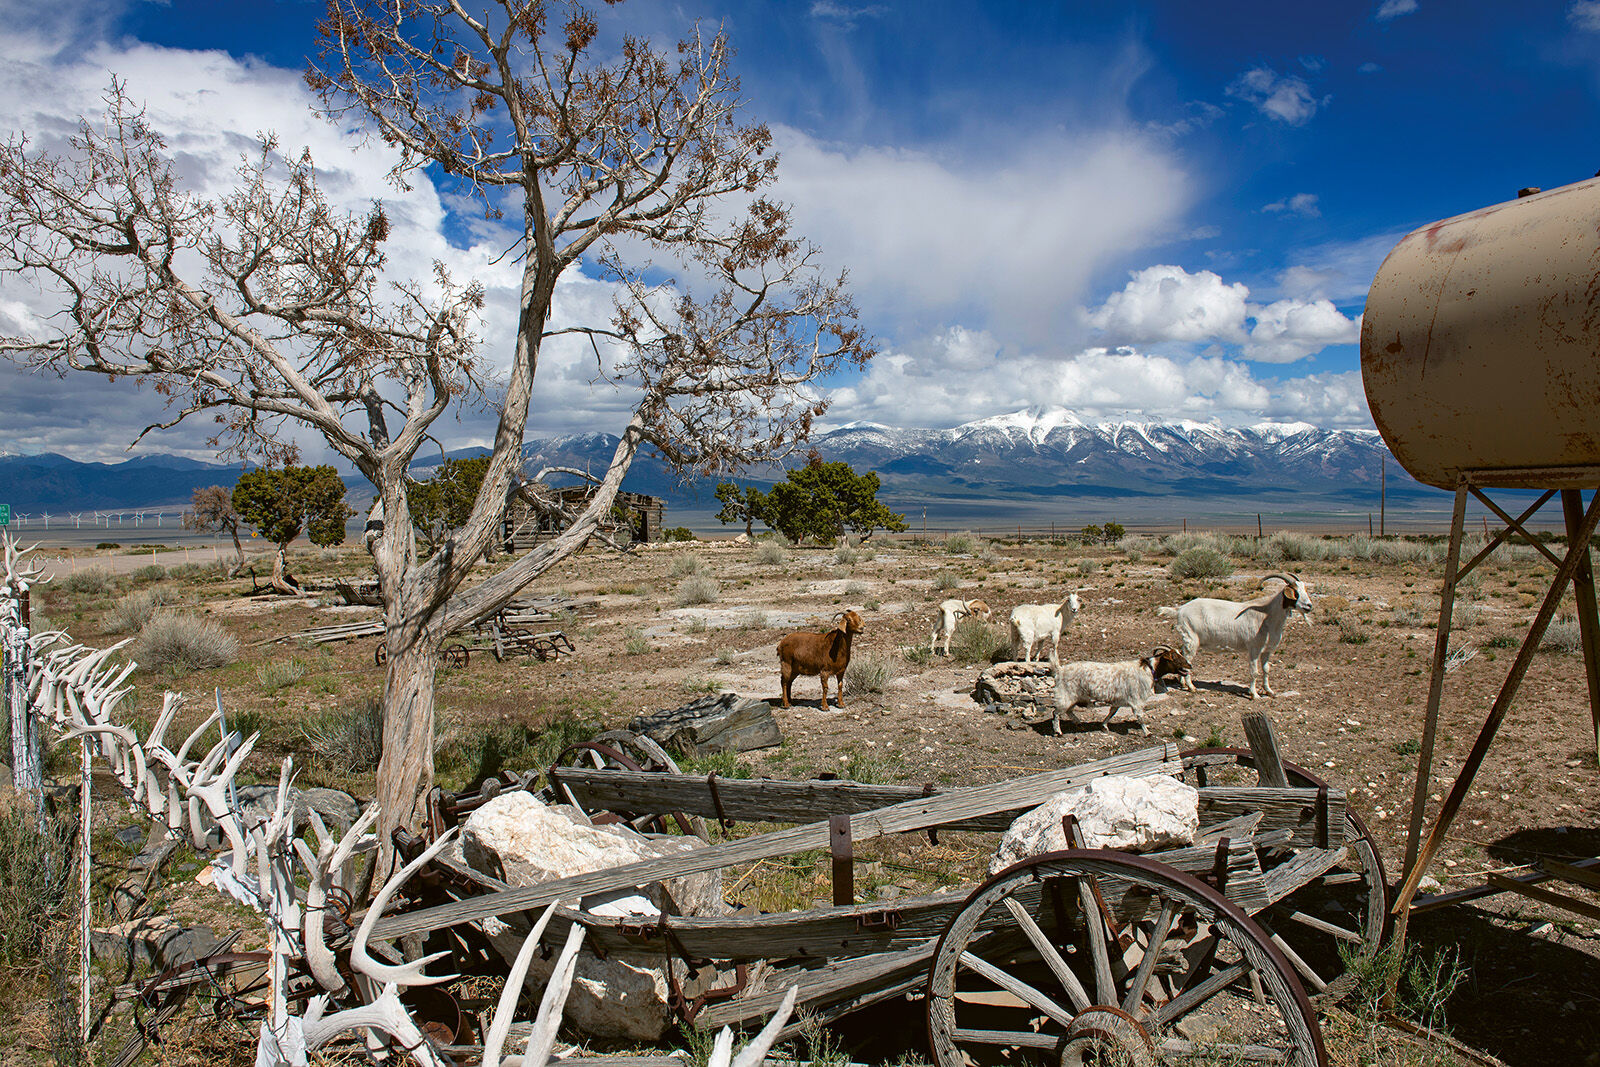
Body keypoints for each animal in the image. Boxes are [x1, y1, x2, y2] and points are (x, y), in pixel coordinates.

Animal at [1164, 575, 1312, 700]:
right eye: (1295, 592)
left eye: (1304, 589)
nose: (1308, 606)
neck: (1267, 616)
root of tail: (1180, 609)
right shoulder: (1254, 649)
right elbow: (1254, 672)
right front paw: (1254, 695)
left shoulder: (1267, 650)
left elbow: (1266, 670)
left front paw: (1269, 691)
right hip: (1192, 640)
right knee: (1188, 660)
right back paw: (1191, 687)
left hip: (1187, 641)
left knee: (1183, 656)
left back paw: (1183, 683)